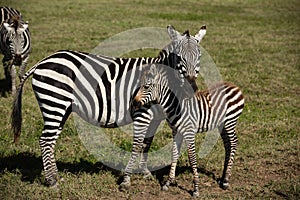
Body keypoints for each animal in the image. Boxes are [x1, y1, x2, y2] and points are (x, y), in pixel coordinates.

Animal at [9, 25, 206, 188]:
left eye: (199, 57)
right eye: (179, 58)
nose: (192, 89)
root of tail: (43, 61)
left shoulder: (155, 118)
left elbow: (147, 143)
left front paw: (145, 172)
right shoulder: (142, 113)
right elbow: (137, 144)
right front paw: (127, 180)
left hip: (60, 109)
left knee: (50, 140)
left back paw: (56, 177)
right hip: (54, 103)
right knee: (45, 140)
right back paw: (51, 182)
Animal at [132, 64, 245, 197]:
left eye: (146, 86)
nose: (134, 103)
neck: (175, 105)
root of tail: (235, 86)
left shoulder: (189, 132)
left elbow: (192, 159)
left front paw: (196, 189)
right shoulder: (176, 132)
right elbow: (174, 154)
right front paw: (168, 183)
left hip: (230, 121)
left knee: (233, 143)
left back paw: (226, 180)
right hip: (221, 124)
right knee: (228, 145)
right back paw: (222, 178)